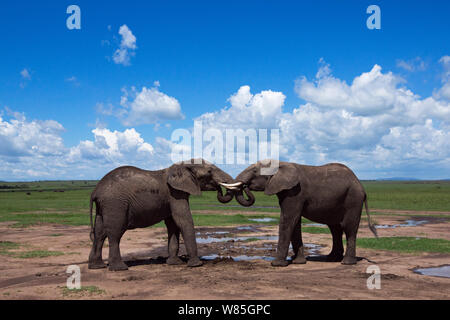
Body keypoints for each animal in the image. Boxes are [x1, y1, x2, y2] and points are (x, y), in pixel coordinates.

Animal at [89, 159, 236, 272]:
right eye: (210, 171)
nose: (219, 189)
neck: (183, 164)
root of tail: (95, 191)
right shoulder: (175, 193)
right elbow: (183, 220)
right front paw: (195, 265)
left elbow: (173, 225)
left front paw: (174, 263)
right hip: (115, 204)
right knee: (115, 233)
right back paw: (120, 268)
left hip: (103, 207)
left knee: (99, 233)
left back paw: (96, 266)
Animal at [221, 160, 376, 268]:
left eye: (254, 170)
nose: (245, 186)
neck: (281, 163)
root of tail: (360, 184)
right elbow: (295, 222)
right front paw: (297, 262)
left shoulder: (295, 192)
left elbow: (288, 220)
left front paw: (277, 265)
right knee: (335, 228)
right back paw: (332, 258)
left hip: (353, 199)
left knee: (349, 227)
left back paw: (346, 263)